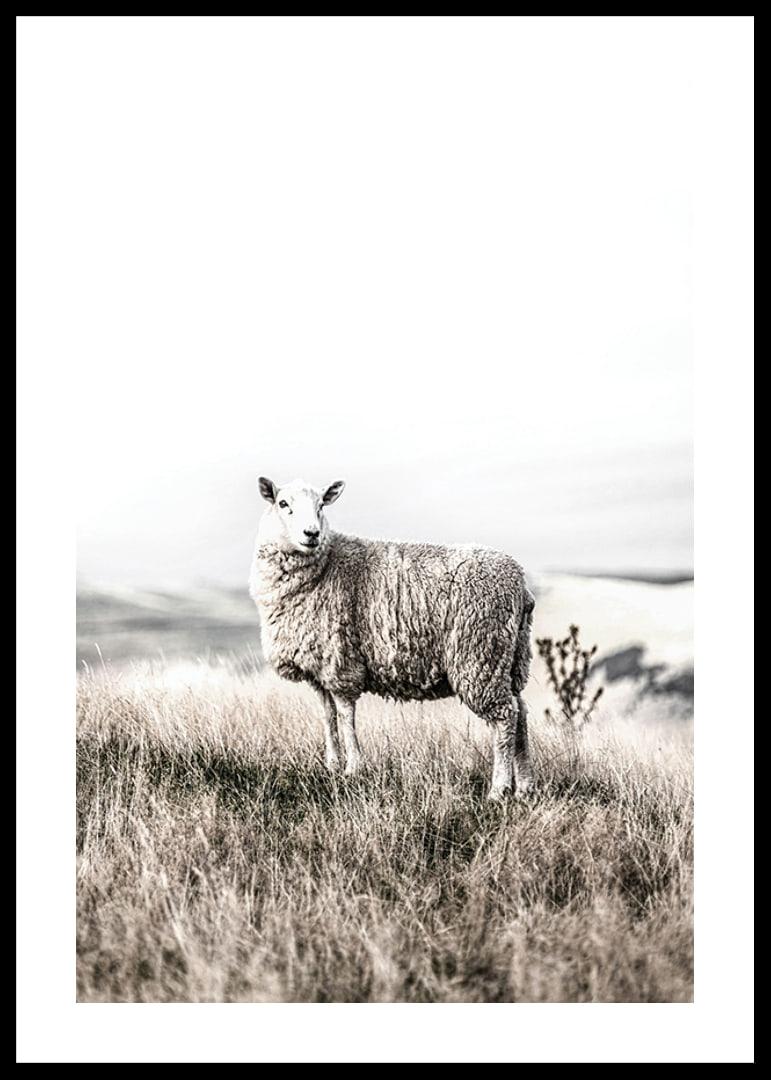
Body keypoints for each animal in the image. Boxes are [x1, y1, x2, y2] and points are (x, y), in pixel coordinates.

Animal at [248, 476, 536, 801]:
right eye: (283, 504)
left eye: (322, 504)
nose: (312, 534)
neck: (325, 566)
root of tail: (520, 584)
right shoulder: (319, 668)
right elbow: (328, 716)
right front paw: (332, 765)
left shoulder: (341, 661)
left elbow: (345, 716)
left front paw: (353, 768)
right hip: (510, 658)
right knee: (520, 712)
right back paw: (525, 787)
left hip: (480, 654)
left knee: (505, 716)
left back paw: (499, 789)